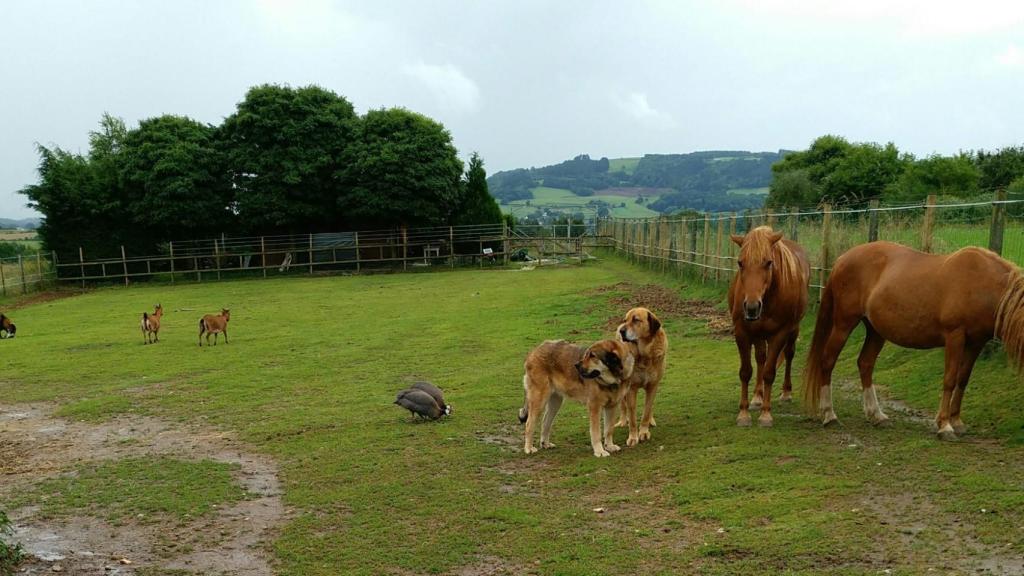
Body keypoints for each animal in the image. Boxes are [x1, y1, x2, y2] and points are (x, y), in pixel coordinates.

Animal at [610, 305, 667, 444]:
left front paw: (644, 432)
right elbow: (631, 414)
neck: (644, 354)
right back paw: (622, 421)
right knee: (623, 406)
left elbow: (647, 410)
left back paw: (651, 420)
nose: (622, 331)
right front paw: (633, 436)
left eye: (636, 320)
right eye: (625, 320)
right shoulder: (631, 388)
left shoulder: (653, 385)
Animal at [729, 224, 806, 426]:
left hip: (793, 330)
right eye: (740, 263)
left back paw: (786, 393)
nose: (752, 307)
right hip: (758, 334)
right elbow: (746, 371)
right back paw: (757, 396)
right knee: (760, 358)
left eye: (769, 262)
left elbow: (769, 373)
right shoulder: (742, 332)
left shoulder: (779, 334)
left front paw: (765, 415)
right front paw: (744, 413)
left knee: (789, 354)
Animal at [802, 239, 1024, 436]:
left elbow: (963, 379)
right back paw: (829, 415)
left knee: (865, 363)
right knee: (828, 360)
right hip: (844, 323)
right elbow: (950, 379)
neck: (981, 283)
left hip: (875, 331)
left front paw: (957, 421)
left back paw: (877, 415)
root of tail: (841, 259)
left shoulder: (976, 343)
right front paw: (945, 425)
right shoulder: (955, 336)